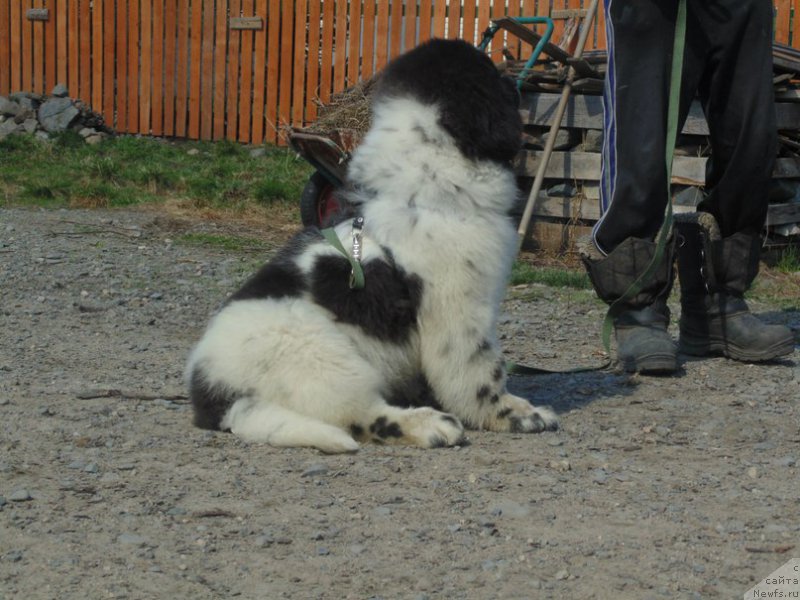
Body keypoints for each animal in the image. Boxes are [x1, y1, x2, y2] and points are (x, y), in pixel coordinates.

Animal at [187, 39, 556, 452]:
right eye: (491, 72)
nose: (516, 81)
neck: (423, 190)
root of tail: (216, 395)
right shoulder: (460, 311)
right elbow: (482, 371)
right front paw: (516, 414)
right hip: (322, 355)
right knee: (358, 415)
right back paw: (428, 425)